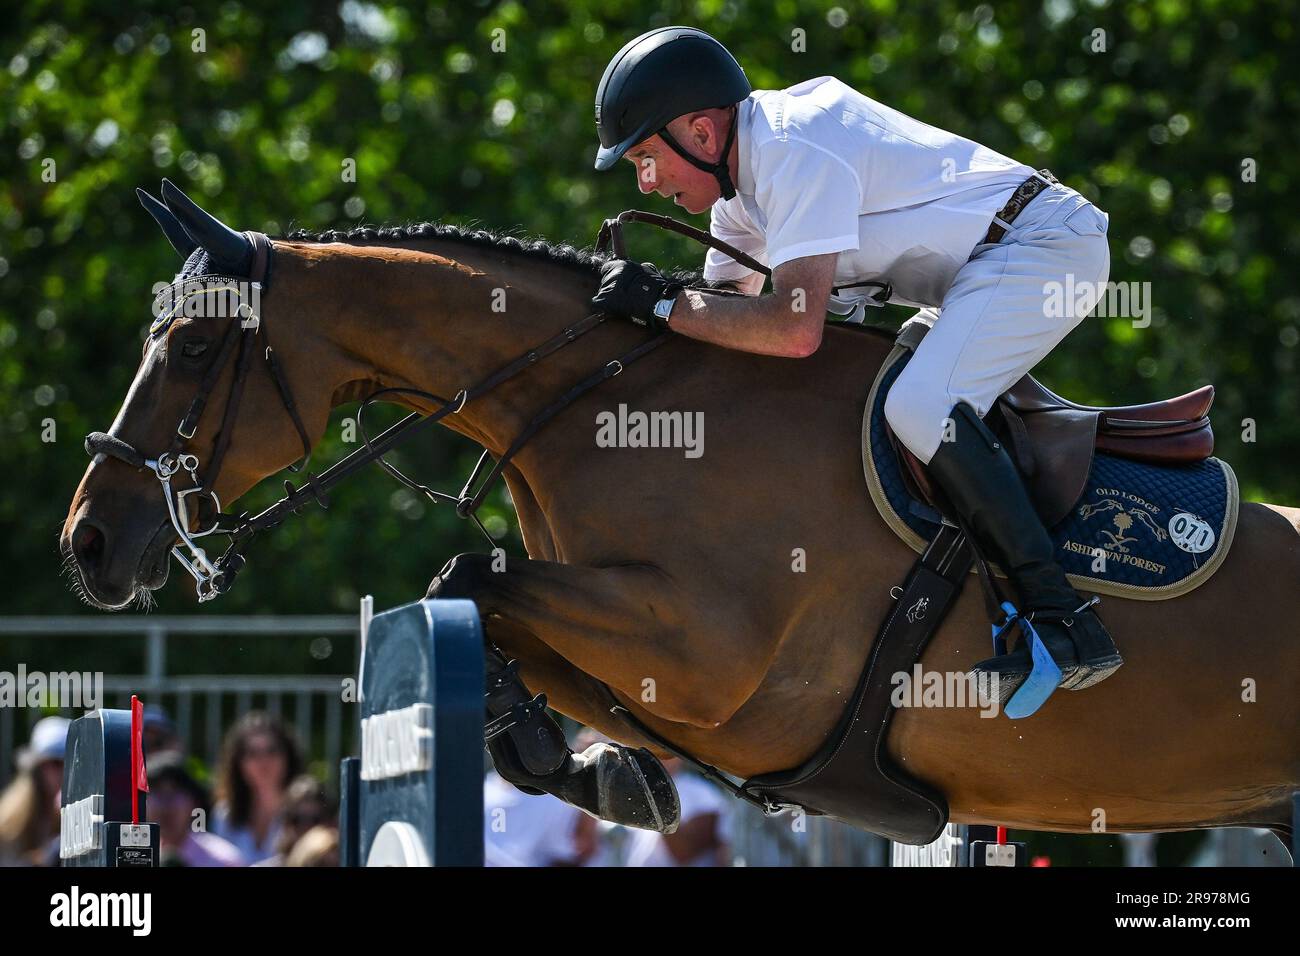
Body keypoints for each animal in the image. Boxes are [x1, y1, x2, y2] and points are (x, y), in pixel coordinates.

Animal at [61, 183, 1300, 848]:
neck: (607, 405)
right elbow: (499, 618)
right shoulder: (651, 662)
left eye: (194, 344)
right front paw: (600, 770)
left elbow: (468, 576)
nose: (90, 544)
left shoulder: (713, 656)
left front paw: (581, 766)